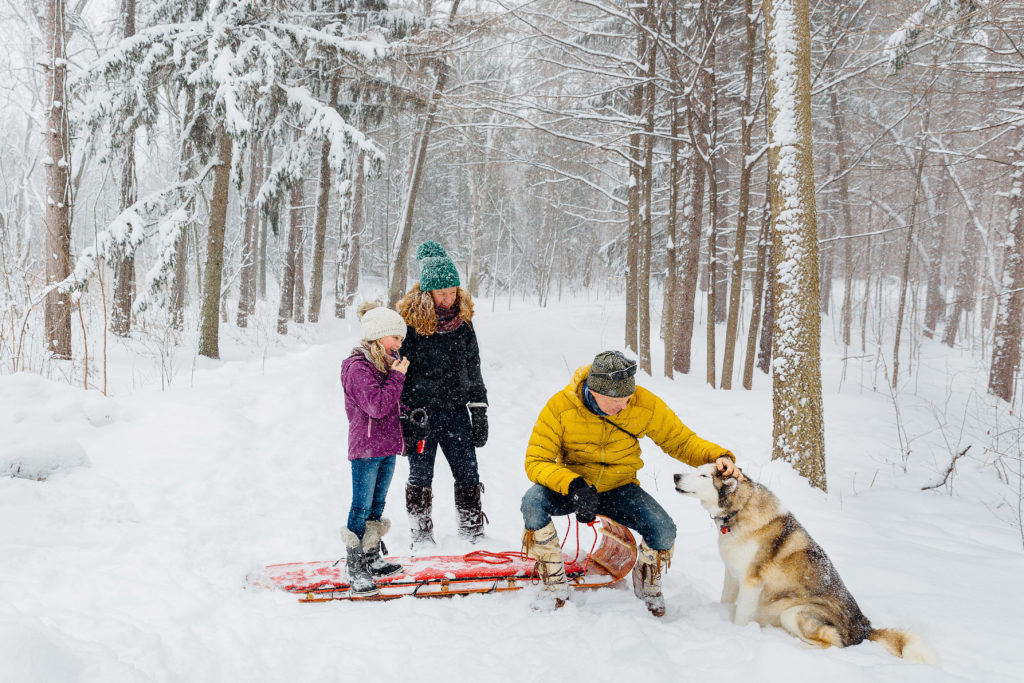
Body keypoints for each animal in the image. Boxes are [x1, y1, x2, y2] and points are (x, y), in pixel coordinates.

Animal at [675, 464, 933, 663]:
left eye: (703, 475)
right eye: (697, 470)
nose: (676, 476)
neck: (740, 509)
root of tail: (864, 626)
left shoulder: (751, 582)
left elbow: (740, 617)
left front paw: (735, 636)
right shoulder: (731, 573)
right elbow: (726, 601)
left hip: (795, 613)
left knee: (833, 643)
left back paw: (795, 649)